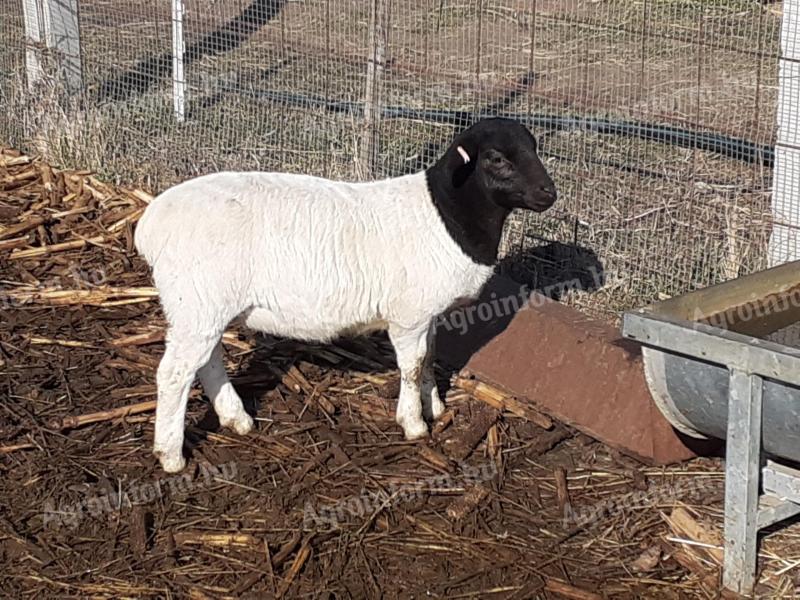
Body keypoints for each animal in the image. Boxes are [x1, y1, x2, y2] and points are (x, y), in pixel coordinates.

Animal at [136, 118, 556, 474]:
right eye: (496, 158)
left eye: (534, 147)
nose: (548, 193)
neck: (447, 216)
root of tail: (150, 223)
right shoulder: (408, 316)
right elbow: (412, 365)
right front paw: (414, 423)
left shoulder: (427, 314)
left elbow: (429, 357)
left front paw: (434, 407)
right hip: (197, 301)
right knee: (174, 373)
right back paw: (171, 455)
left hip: (204, 306)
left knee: (206, 362)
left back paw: (236, 419)